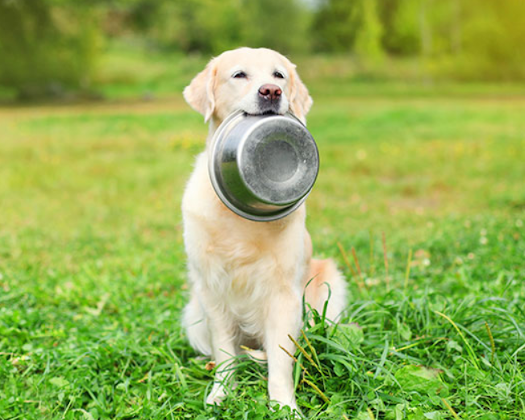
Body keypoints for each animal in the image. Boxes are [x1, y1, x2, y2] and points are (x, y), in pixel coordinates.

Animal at [180, 47, 348, 412]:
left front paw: (284, 405)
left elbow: (281, 361)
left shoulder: (283, 293)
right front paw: (220, 393)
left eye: (279, 75)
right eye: (239, 74)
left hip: (328, 287)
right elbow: (225, 352)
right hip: (194, 313)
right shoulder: (212, 289)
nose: (271, 91)